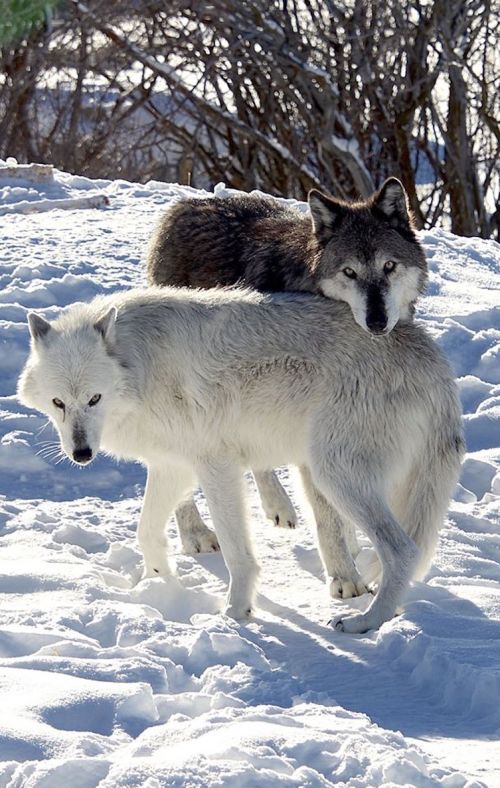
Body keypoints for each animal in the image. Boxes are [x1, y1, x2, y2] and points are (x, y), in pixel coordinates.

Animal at [18, 286, 463, 633]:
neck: (141, 367)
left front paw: (235, 613)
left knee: (403, 551)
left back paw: (366, 621)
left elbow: (237, 553)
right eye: (59, 403)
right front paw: (156, 585)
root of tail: (435, 362)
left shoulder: (217, 467)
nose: (81, 454)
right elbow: (146, 530)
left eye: (94, 398)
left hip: (335, 475)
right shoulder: (173, 467)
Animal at [146, 178, 428, 555]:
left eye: (389, 266)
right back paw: (196, 533)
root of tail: (184, 206)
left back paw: (277, 506)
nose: (377, 321)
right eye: (349, 272)